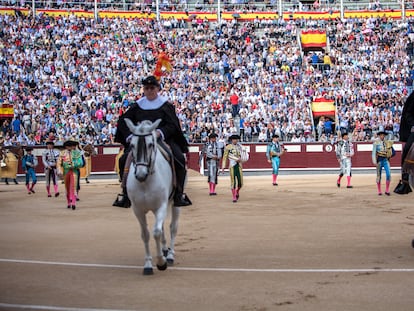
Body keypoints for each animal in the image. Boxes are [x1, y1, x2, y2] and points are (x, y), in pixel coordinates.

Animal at [123, 119, 180, 276]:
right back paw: (165, 250)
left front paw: (161, 262)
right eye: (132, 145)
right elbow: (146, 234)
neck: (145, 182)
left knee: (172, 227)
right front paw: (148, 264)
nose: (141, 174)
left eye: (150, 144)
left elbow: (156, 232)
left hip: (175, 203)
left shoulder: (161, 206)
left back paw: (170, 255)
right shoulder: (137, 210)